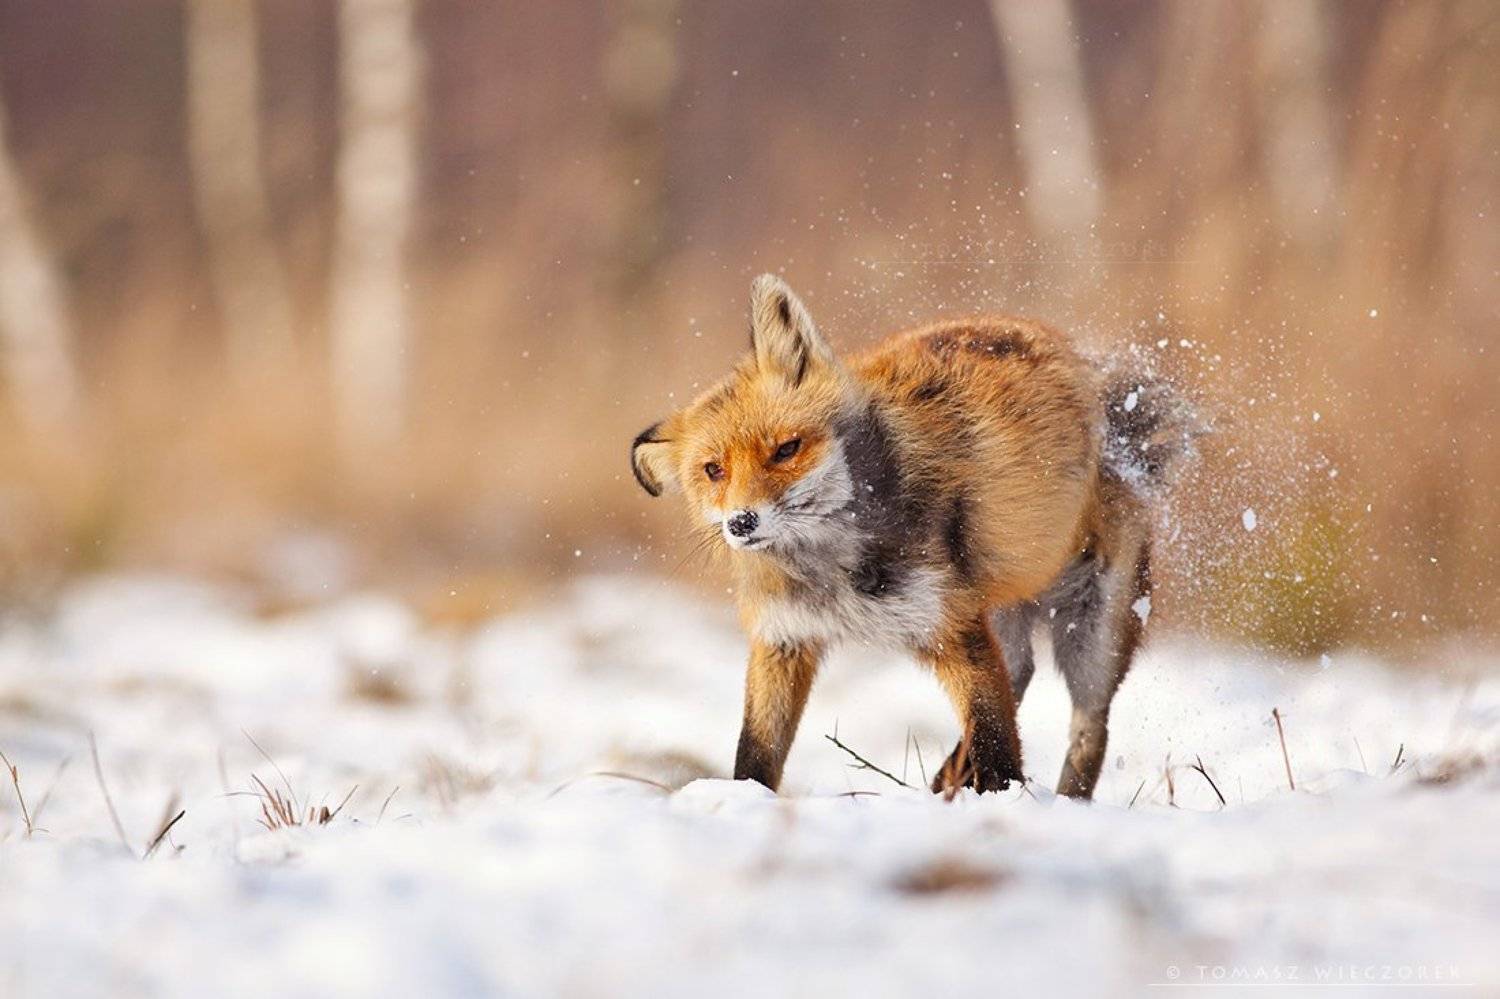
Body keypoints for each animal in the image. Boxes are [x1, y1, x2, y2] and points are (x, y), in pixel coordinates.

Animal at [630, 274, 1193, 799]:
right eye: (713, 470)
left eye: (787, 449)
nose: (741, 523)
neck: (830, 572)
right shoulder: (784, 638)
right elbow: (756, 752)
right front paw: (746, 799)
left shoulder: (950, 624)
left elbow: (994, 736)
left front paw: (1001, 801)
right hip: (1002, 615)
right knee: (1019, 674)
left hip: (1092, 636)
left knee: (1088, 727)